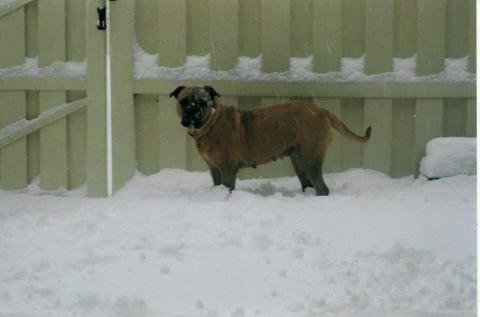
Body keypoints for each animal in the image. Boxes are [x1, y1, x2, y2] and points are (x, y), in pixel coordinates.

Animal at [169, 86, 372, 195]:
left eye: (202, 102)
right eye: (184, 101)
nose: (191, 113)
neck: (212, 122)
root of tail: (322, 110)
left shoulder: (228, 168)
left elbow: (228, 187)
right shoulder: (214, 169)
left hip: (310, 159)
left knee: (322, 188)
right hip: (298, 161)